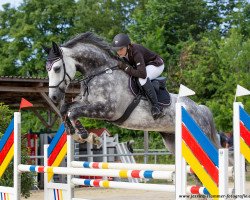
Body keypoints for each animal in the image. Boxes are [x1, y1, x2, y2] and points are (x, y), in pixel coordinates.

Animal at [43, 31, 221, 153]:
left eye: (57, 68)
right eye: (47, 69)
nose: (53, 96)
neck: (100, 71)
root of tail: (200, 109)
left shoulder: (107, 110)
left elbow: (73, 112)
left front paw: (87, 137)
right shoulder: (88, 103)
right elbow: (65, 109)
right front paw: (73, 133)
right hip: (172, 140)